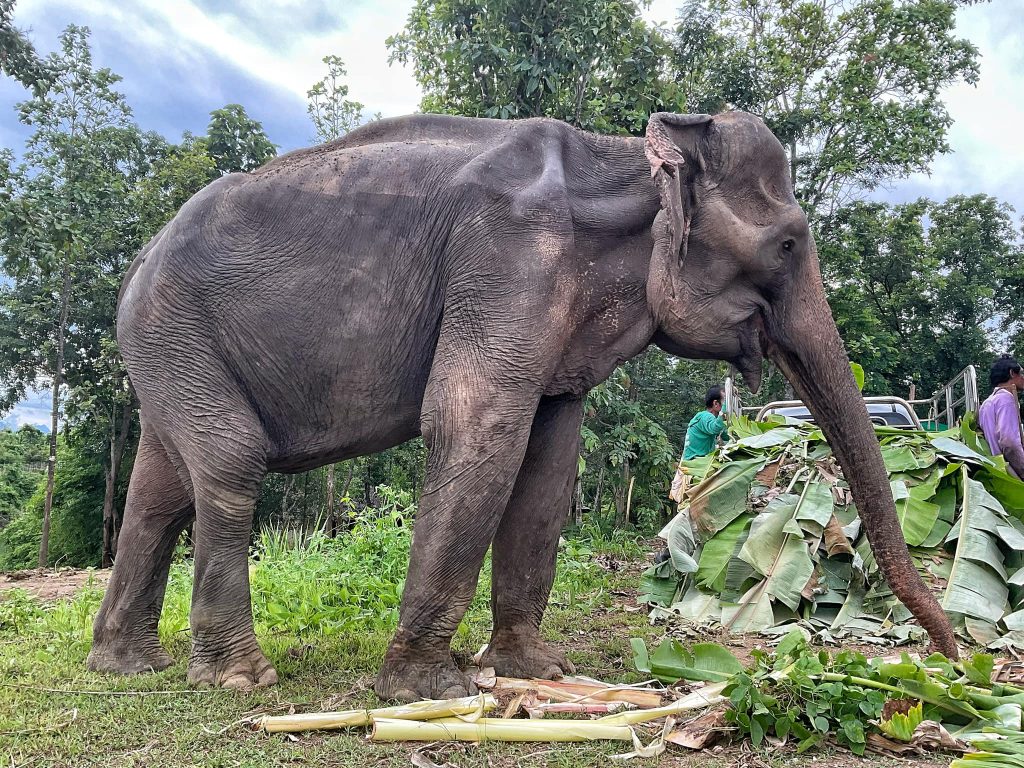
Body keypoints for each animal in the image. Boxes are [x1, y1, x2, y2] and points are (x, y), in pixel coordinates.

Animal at [86, 111, 958, 700]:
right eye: (786, 245)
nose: (954, 657)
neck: (624, 158)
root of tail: (135, 264)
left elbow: (550, 458)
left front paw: (537, 669)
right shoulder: (508, 260)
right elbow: (479, 425)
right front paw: (428, 691)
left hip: (171, 349)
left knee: (161, 488)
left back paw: (128, 665)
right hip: (173, 330)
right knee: (230, 464)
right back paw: (241, 680)